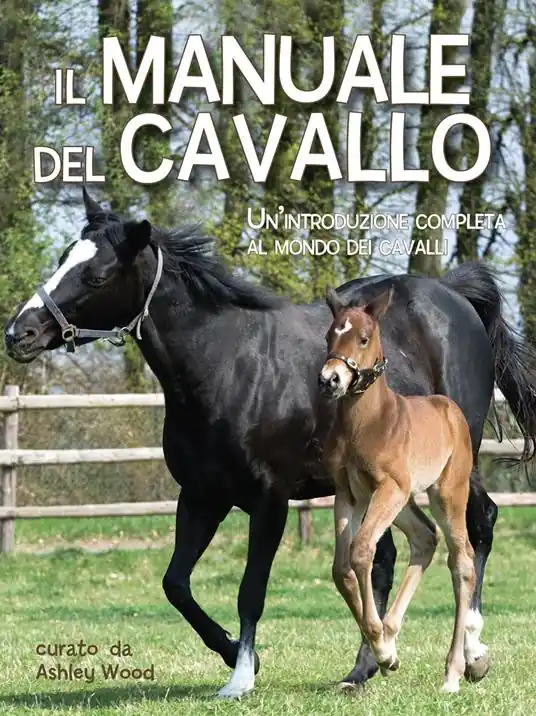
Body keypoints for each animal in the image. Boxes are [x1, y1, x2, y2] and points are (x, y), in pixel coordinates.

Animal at [319, 285, 476, 693]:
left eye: (363, 337)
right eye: (329, 336)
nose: (330, 380)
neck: (370, 422)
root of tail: (450, 408)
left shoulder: (387, 487)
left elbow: (362, 552)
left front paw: (381, 649)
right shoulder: (348, 494)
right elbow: (341, 569)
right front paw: (386, 649)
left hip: (444, 493)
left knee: (462, 561)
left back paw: (452, 673)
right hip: (403, 502)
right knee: (425, 537)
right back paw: (391, 633)